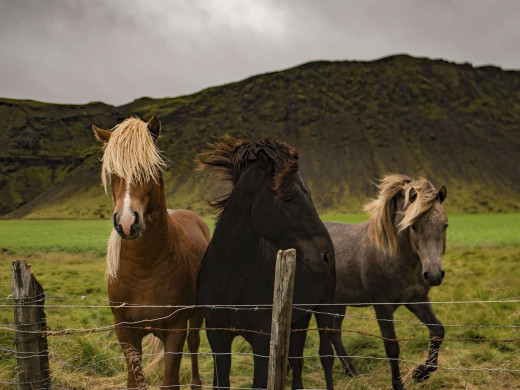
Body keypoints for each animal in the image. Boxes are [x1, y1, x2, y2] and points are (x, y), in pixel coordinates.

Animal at [92, 116, 210, 390]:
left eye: (150, 169)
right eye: (112, 173)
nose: (126, 223)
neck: (144, 269)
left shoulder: (176, 329)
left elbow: (170, 381)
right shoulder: (124, 330)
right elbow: (134, 381)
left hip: (196, 316)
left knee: (195, 343)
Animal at [196, 136, 338, 390]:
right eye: (288, 197)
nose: (326, 255)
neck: (230, 278)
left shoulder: (263, 341)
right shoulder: (217, 336)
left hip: (325, 308)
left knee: (326, 357)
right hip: (299, 317)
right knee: (297, 358)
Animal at [330, 174, 446, 390]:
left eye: (445, 225)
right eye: (413, 226)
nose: (434, 274)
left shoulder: (417, 300)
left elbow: (437, 331)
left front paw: (420, 373)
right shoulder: (382, 307)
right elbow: (392, 346)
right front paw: (398, 383)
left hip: (338, 303)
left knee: (334, 333)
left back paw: (353, 372)